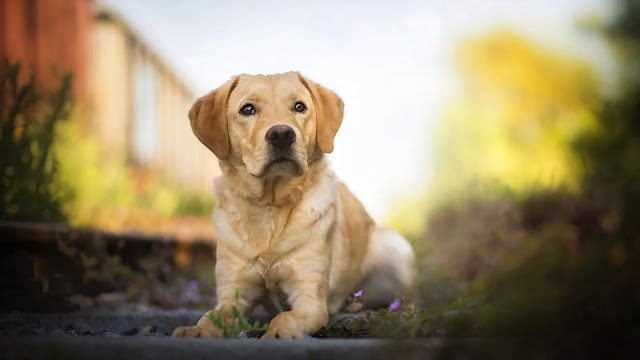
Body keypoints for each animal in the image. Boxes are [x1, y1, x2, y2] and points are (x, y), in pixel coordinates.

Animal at [172, 71, 418, 338]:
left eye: (299, 106)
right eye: (247, 109)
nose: (281, 134)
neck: (271, 206)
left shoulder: (309, 299)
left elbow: (284, 318)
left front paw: (276, 334)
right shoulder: (233, 296)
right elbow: (210, 316)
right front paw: (196, 330)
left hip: (395, 246)